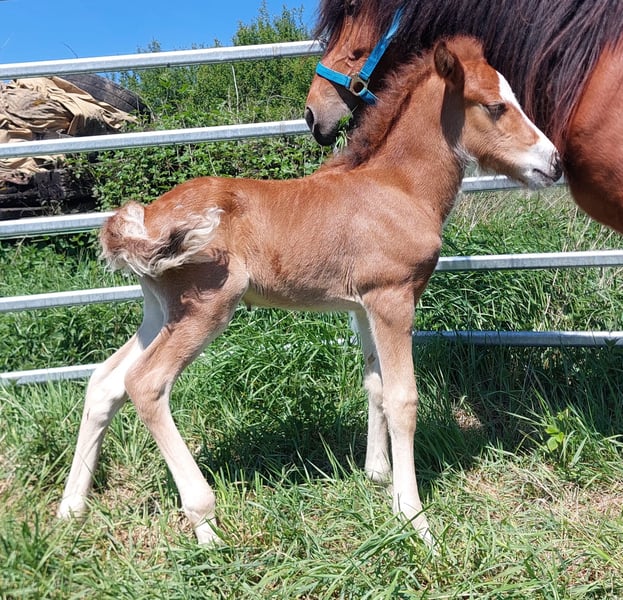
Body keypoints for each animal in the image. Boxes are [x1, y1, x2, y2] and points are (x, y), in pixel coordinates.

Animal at [58, 37, 561, 546]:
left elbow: (374, 384)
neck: (398, 187)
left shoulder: (363, 305)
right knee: (145, 383)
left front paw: (377, 477)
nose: (554, 162)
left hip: (160, 310)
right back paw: (205, 524)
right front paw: (413, 518)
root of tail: (143, 218)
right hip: (207, 306)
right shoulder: (393, 297)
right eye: (495, 106)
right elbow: (403, 399)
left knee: (106, 381)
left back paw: (71, 509)